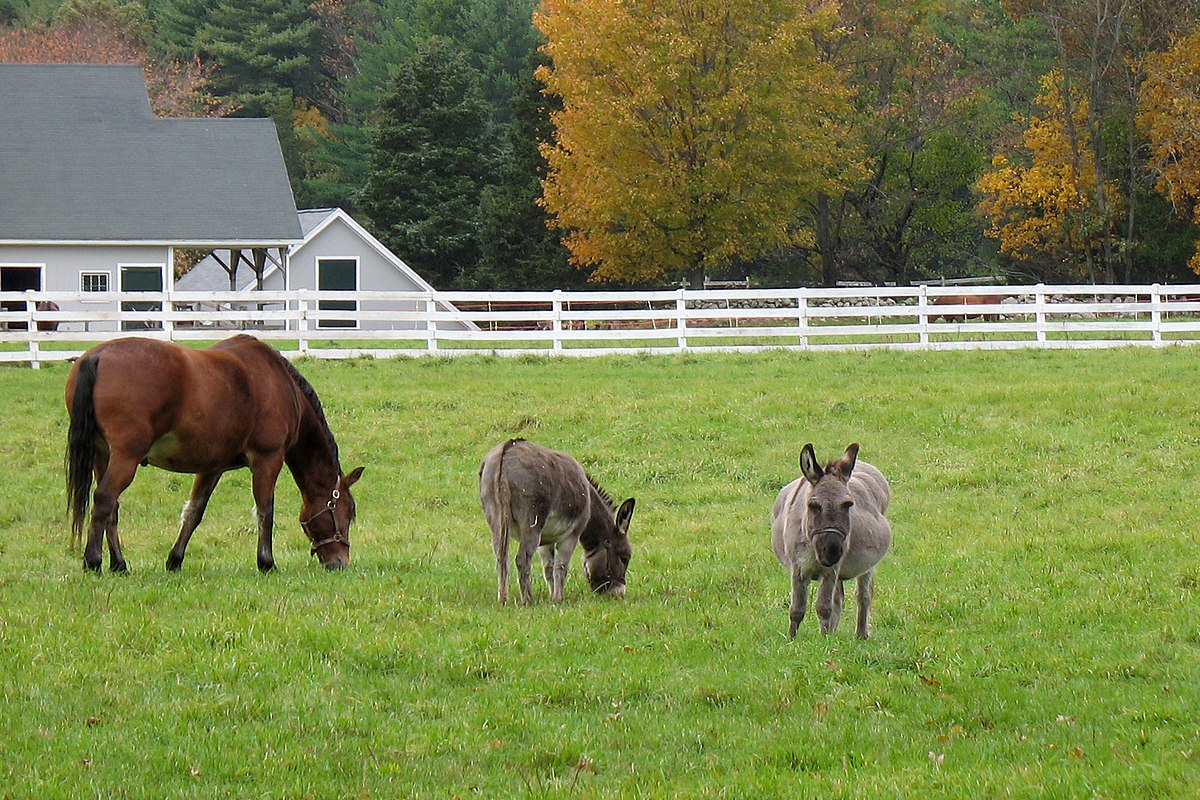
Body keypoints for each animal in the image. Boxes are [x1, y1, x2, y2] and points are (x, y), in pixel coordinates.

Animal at [65, 335, 362, 573]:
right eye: (347, 512)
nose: (340, 562)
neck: (280, 383)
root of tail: (97, 356)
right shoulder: (268, 459)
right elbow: (265, 511)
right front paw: (267, 563)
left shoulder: (212, 467)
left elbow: (194, 512)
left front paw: (175, 560)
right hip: (126, 457)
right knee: (105, 499)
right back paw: (93, 561)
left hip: (102, 456)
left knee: (111, 508)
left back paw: (119, 564)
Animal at [477, 441, 633, 604]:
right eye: (624, 558)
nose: (619, 594)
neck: (588, 500)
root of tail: (507, 449)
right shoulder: (572, 535)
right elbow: (561, 567)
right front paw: (558, 599)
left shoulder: (546, 540)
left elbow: (548, 568)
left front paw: (552, 597)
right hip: (531, 522)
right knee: (522, 559)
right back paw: (528, 600)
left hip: (496, 519)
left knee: (501, 558)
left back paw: (503, 599)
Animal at [768, 443, 892, 638]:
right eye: (813, 506)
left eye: (848, 505)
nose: (832, 552)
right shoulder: (798, 568)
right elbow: (796, 609)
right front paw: (792, 639)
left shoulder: (831, 571)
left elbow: (824, 607)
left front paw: (824, 640)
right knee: (839, 598)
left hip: (865, 567)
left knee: (863, 596)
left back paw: (861, 635)